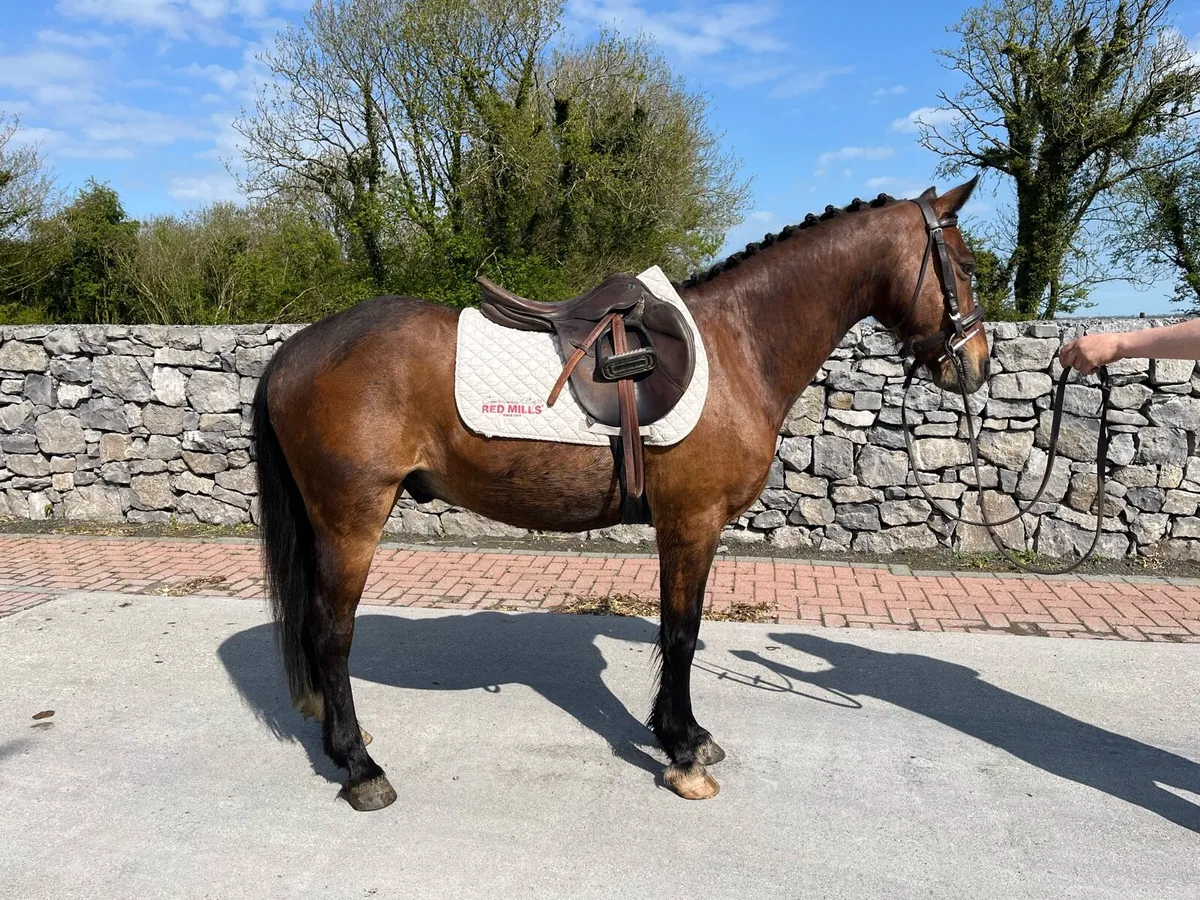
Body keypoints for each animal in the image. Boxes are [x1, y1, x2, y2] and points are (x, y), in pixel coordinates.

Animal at [251, 177, 989, 811]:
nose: (976, 366)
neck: (739, 345)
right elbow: (682, 634)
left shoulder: (684, 526)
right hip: (351, 519)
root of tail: (294, 351)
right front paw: (683, 756)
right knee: (332, 633)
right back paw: (360, 768)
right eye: (965, 265)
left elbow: (674, 629)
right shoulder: (692, 521)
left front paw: (683, 736)